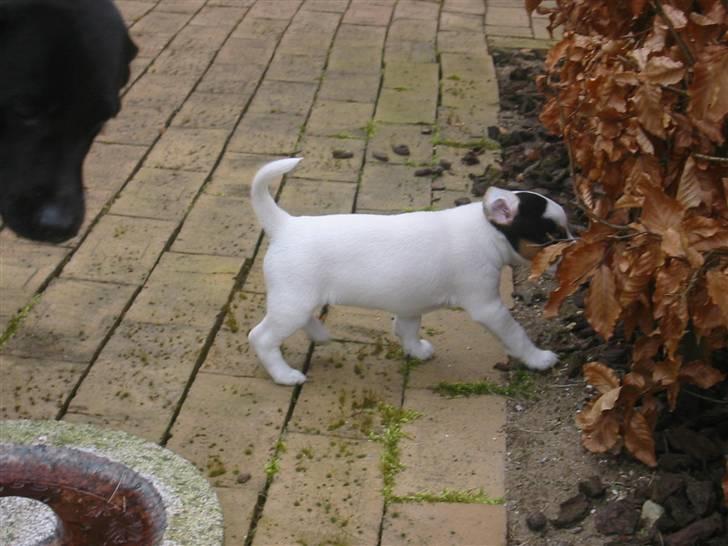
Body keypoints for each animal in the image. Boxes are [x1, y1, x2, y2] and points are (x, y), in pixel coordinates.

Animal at [247, 155, 572, 384]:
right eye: (552, 236)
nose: (574, 248)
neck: (487, 231)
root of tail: (286, 225)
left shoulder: (409, 304)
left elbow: (406, 328)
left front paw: (416, 350)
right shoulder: (488, 306)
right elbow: (516, 334)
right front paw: (539, 358)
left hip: (297, 301)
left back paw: (319, 334)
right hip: (293, 302)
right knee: (261, 337)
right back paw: (285, 376)